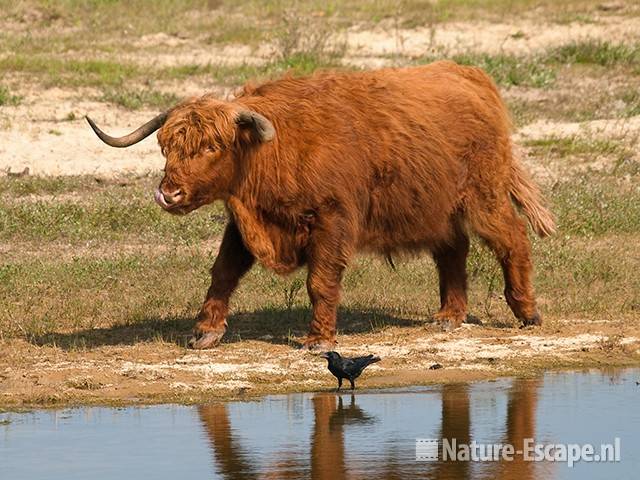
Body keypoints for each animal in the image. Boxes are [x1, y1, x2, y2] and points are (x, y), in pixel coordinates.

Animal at [87, 62, 552, 350]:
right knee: (453, 251)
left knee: (513, 240)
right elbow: (223, 273)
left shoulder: (331, 221)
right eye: (166, 146)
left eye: (211, 146)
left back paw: (527, 311)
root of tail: (471, 76)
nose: (169, 193)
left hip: (484, 198)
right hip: (438, 208)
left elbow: (320, 282)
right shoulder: (243, 224)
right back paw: (449, 315)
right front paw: (205, 332)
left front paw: (318, 339)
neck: (272, 153)